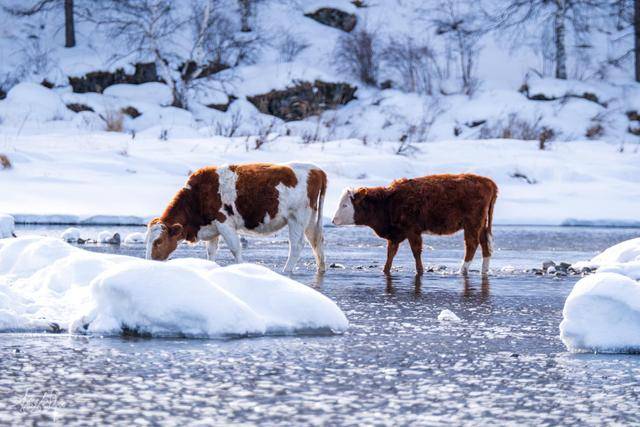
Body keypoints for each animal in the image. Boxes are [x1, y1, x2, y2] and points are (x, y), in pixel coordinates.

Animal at [148, 162, 328, 272]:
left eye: (159, 241)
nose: (149, 262)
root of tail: (316, 170)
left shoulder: (224, 223)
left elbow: (235, 249)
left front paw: (242, 269)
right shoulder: (212, 228)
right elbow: (211, 252)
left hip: (296, 218)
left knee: (296, 245)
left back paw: (286, 271)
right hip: (310, 219)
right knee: (316, 241)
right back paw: (321, 269)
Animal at [332, 175, 498, 278]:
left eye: (345, 205)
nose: (333, 220)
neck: (388, 202)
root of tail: (488, 182)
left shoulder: (412, 231)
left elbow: (416, 251)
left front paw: (420, 271)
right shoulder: (395, 235)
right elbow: (390, 253)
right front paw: (385, 270)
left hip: (472, 224)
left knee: (472, 245)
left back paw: (462, 271)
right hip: (481, 225)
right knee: (485, 245)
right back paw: (484, 271)